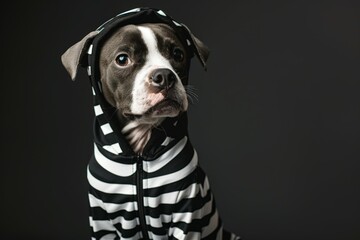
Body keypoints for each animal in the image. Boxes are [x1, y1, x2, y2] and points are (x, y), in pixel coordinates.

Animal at [61, 7, 239, 240]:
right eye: (122, 59)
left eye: (177, 54)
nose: (164, 76)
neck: (138, 152)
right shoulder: (101, 220)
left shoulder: (188, 212)